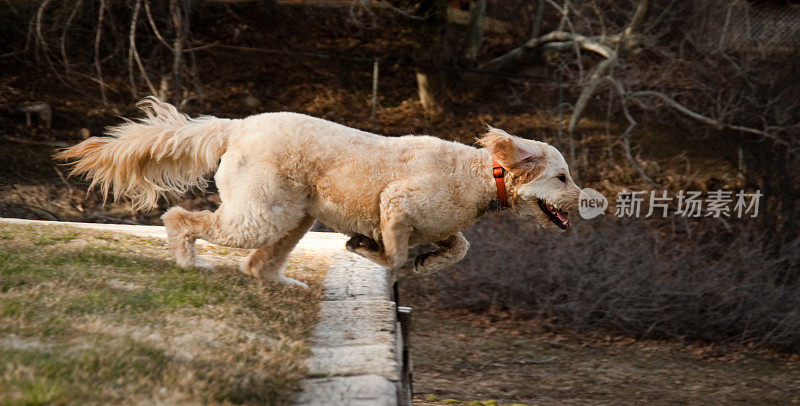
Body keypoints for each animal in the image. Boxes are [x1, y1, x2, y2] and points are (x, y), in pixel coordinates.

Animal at [57, 97, 580, 288]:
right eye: (563, 178)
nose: (584, 201)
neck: (478, 175)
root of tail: (237, 126)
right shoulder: (396, 202)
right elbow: (394, 253)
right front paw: (368, 248)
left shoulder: (440, 223)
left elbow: (460, 246)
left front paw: (429, 261)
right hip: (261, 214)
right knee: (180, 219)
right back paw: (189, 262)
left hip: (294, 215)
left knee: (257, 263)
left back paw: (282, 284)